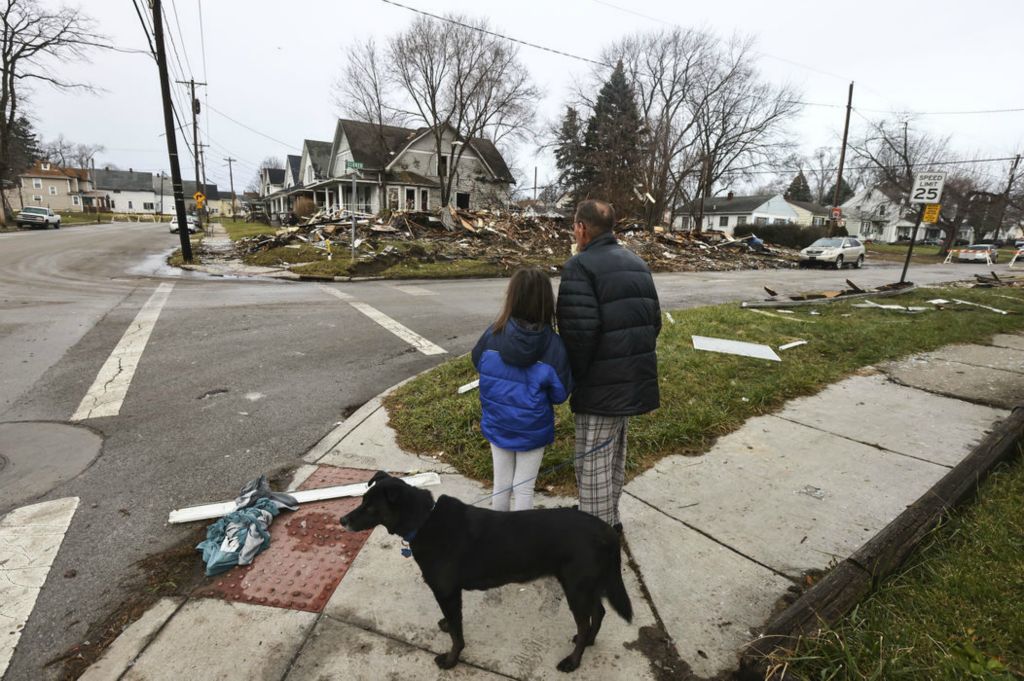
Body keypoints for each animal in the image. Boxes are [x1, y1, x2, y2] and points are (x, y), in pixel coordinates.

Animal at [342, 471, 630, 671]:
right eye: (362, 500)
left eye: (370, 507)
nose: (342, 520)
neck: (424, 520)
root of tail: (607, 531)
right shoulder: (449, 595)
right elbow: (452, 624)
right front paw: (446, 624)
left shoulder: (447, 592)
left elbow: (458, 636)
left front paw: (451, 660)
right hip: (587, 584)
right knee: (599, 612)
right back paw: (589, 641)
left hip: (576, 587)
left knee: (586, 621)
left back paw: (573, 661)